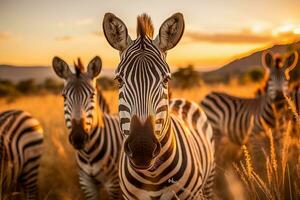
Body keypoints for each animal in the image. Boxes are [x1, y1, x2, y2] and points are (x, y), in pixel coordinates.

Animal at [52, 56, 122, 200]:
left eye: (92, 95)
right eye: (64, 96)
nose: (78, 138)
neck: (89, 153)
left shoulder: (114, 184)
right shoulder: (86, 184)